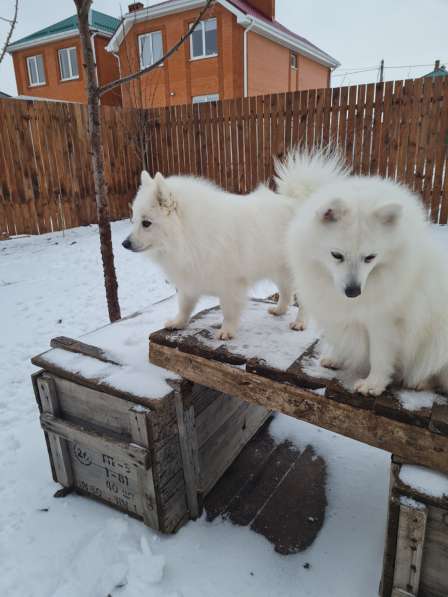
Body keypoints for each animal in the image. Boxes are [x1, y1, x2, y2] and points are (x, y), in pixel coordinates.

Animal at [121, 149, 344, 340]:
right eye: (134, 219)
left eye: (146, 223)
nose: (124, 243)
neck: (188, 233)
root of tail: (299, 202)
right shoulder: (190, 280)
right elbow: (185, 306)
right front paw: (178, 323)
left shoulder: (230, 285)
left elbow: (228, 311)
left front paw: (226, 331)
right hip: (276, 268)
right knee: (286, 291)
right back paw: (279, 310)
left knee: (302, 299)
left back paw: (300, 322)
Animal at [286, 172, 448, 396]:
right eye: (336, 255)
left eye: (370, 258)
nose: (353, 292)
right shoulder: (341, 316)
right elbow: (343, 339)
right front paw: (336, 358)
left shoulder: (384, 323)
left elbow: (380, 357)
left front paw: (373, 385)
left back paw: (421, 382)